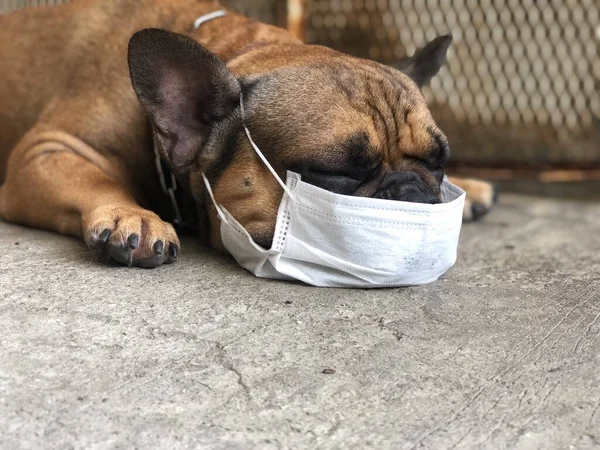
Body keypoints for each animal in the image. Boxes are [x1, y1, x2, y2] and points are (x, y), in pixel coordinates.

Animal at [0, 0, 496, 268]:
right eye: (332, 173)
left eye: (439, 161)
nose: (414, 192)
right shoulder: (45, 151)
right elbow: (96, 177)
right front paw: (131, 216)